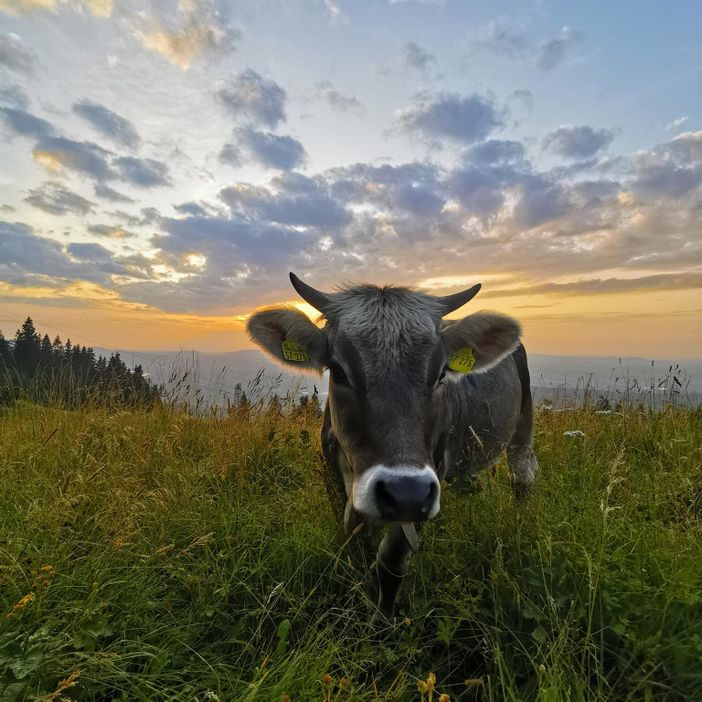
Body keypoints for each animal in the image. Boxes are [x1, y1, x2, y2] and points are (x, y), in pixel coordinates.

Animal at [248, 272, 540, 620]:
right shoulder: (336, 473)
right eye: (339, 371)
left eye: (441, 373)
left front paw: (381, 621)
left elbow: (391, 563)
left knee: (522, 475)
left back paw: (519, 526)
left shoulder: (427, 481)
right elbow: (356, 540)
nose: (405, 491)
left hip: (522, 425)